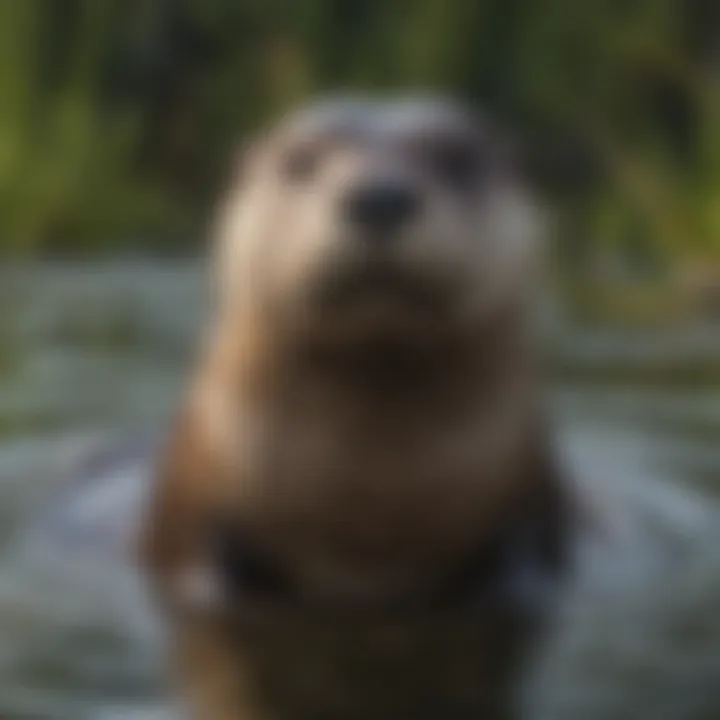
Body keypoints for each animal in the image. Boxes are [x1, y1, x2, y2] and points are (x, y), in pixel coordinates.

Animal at [138, 97, 572, 720]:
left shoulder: (527, 517)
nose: (379, 197)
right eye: (299, 159)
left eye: (457, 158)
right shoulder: (203, 521)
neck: (364, 521)